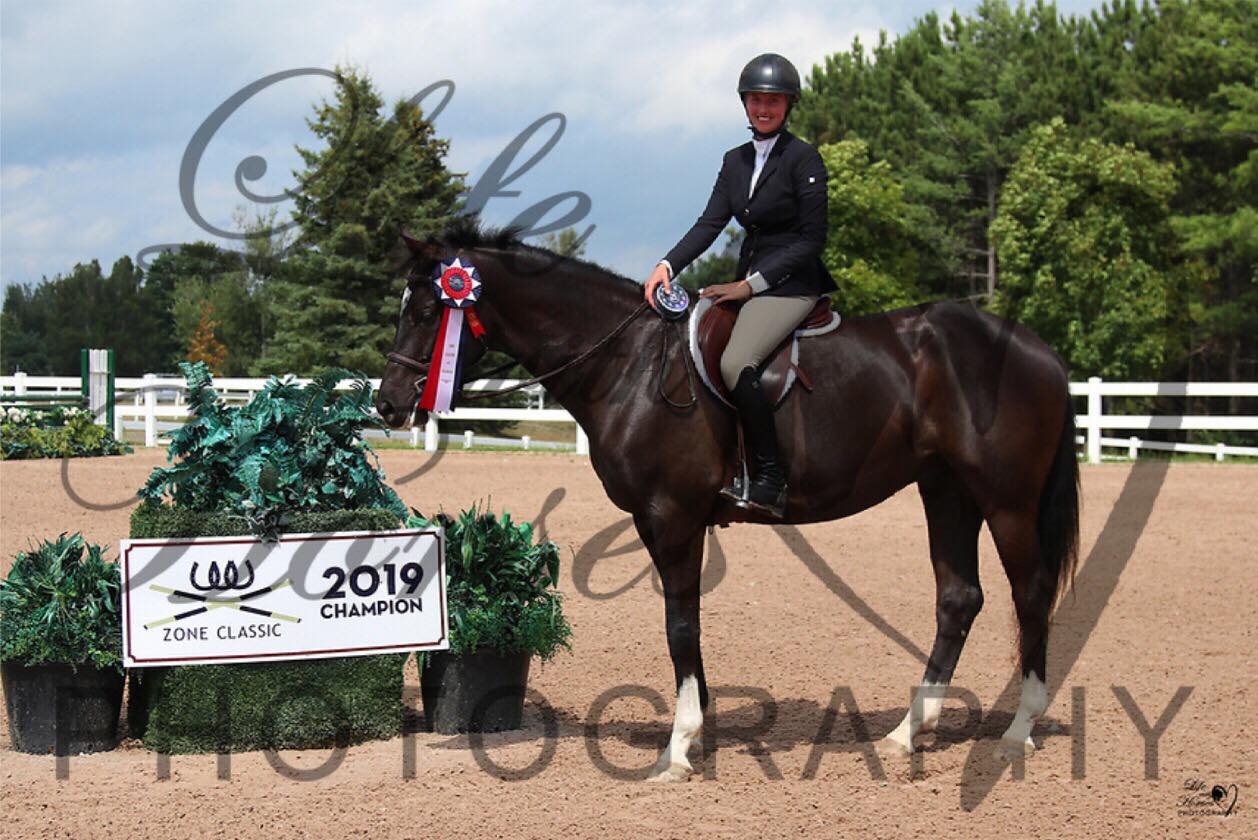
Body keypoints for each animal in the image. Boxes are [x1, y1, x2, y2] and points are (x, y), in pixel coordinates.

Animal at [374, 220, 1081, 784]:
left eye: (429, 310)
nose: (388, 404)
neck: (629, 363)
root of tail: (1036, 349)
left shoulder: (671, 517)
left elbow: (679, 625)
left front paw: (678, 748)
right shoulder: (672, 523)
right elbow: (687, 625)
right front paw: (702, 729)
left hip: (1005, 501)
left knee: (1031, 593)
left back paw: (1019, 729)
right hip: (947, 491)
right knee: (959, 598)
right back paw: (909, 732)